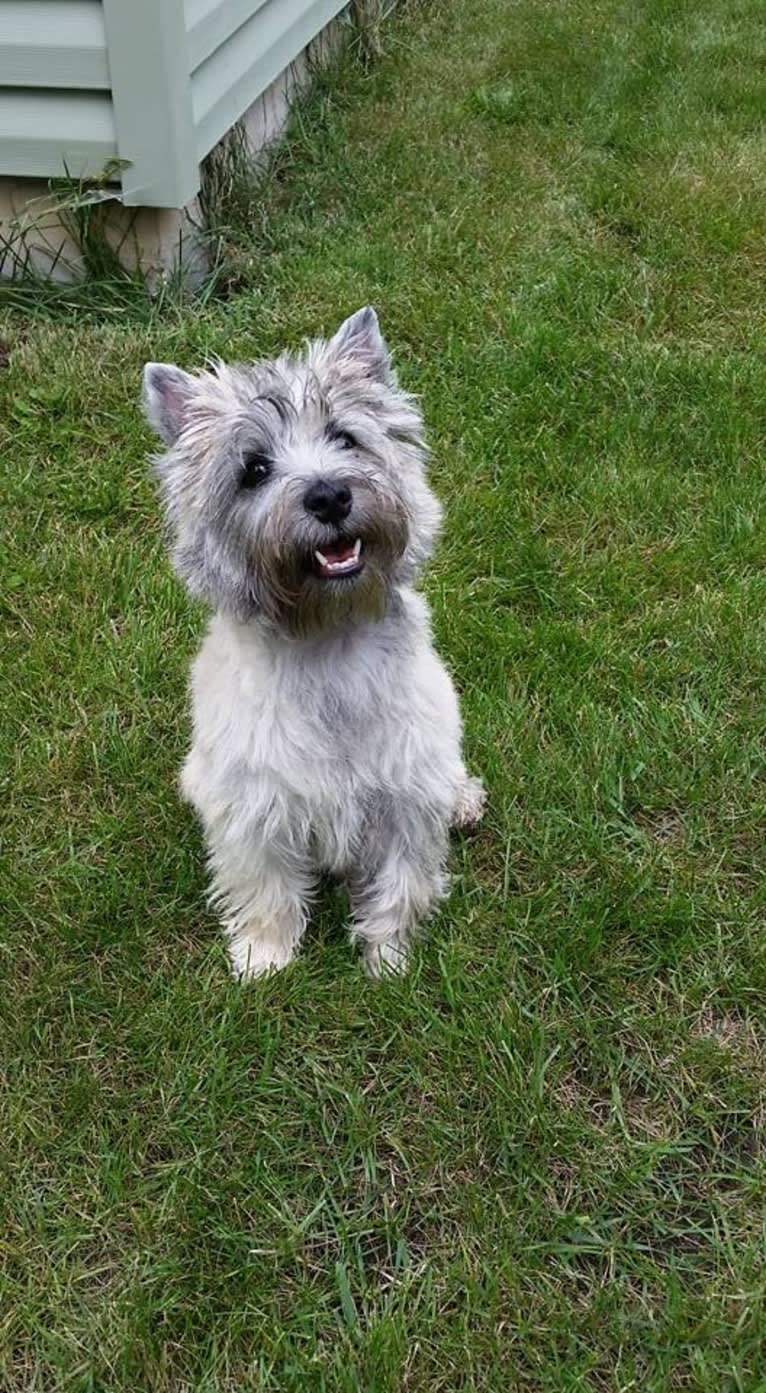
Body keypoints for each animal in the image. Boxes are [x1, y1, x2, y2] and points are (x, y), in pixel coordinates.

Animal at [144, 305, 487, 980]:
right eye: (254, 469)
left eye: (345, 438)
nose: (329, 494)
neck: (326, 638)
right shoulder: (254, 803)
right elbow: (265, 885)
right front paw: (264, 958)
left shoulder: (406, 794)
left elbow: (402, 882)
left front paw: (389, 959)